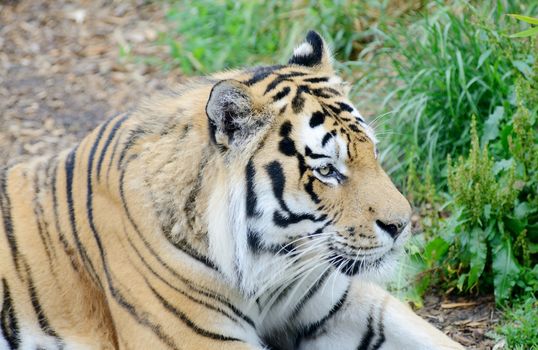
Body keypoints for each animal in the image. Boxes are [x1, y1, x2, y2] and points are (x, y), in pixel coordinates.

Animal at [0, 30, 460, 350]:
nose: (402, 225)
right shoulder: (198, 339)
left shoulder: (342, 301)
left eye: (373, 153)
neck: (270, 261)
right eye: (327, 170)